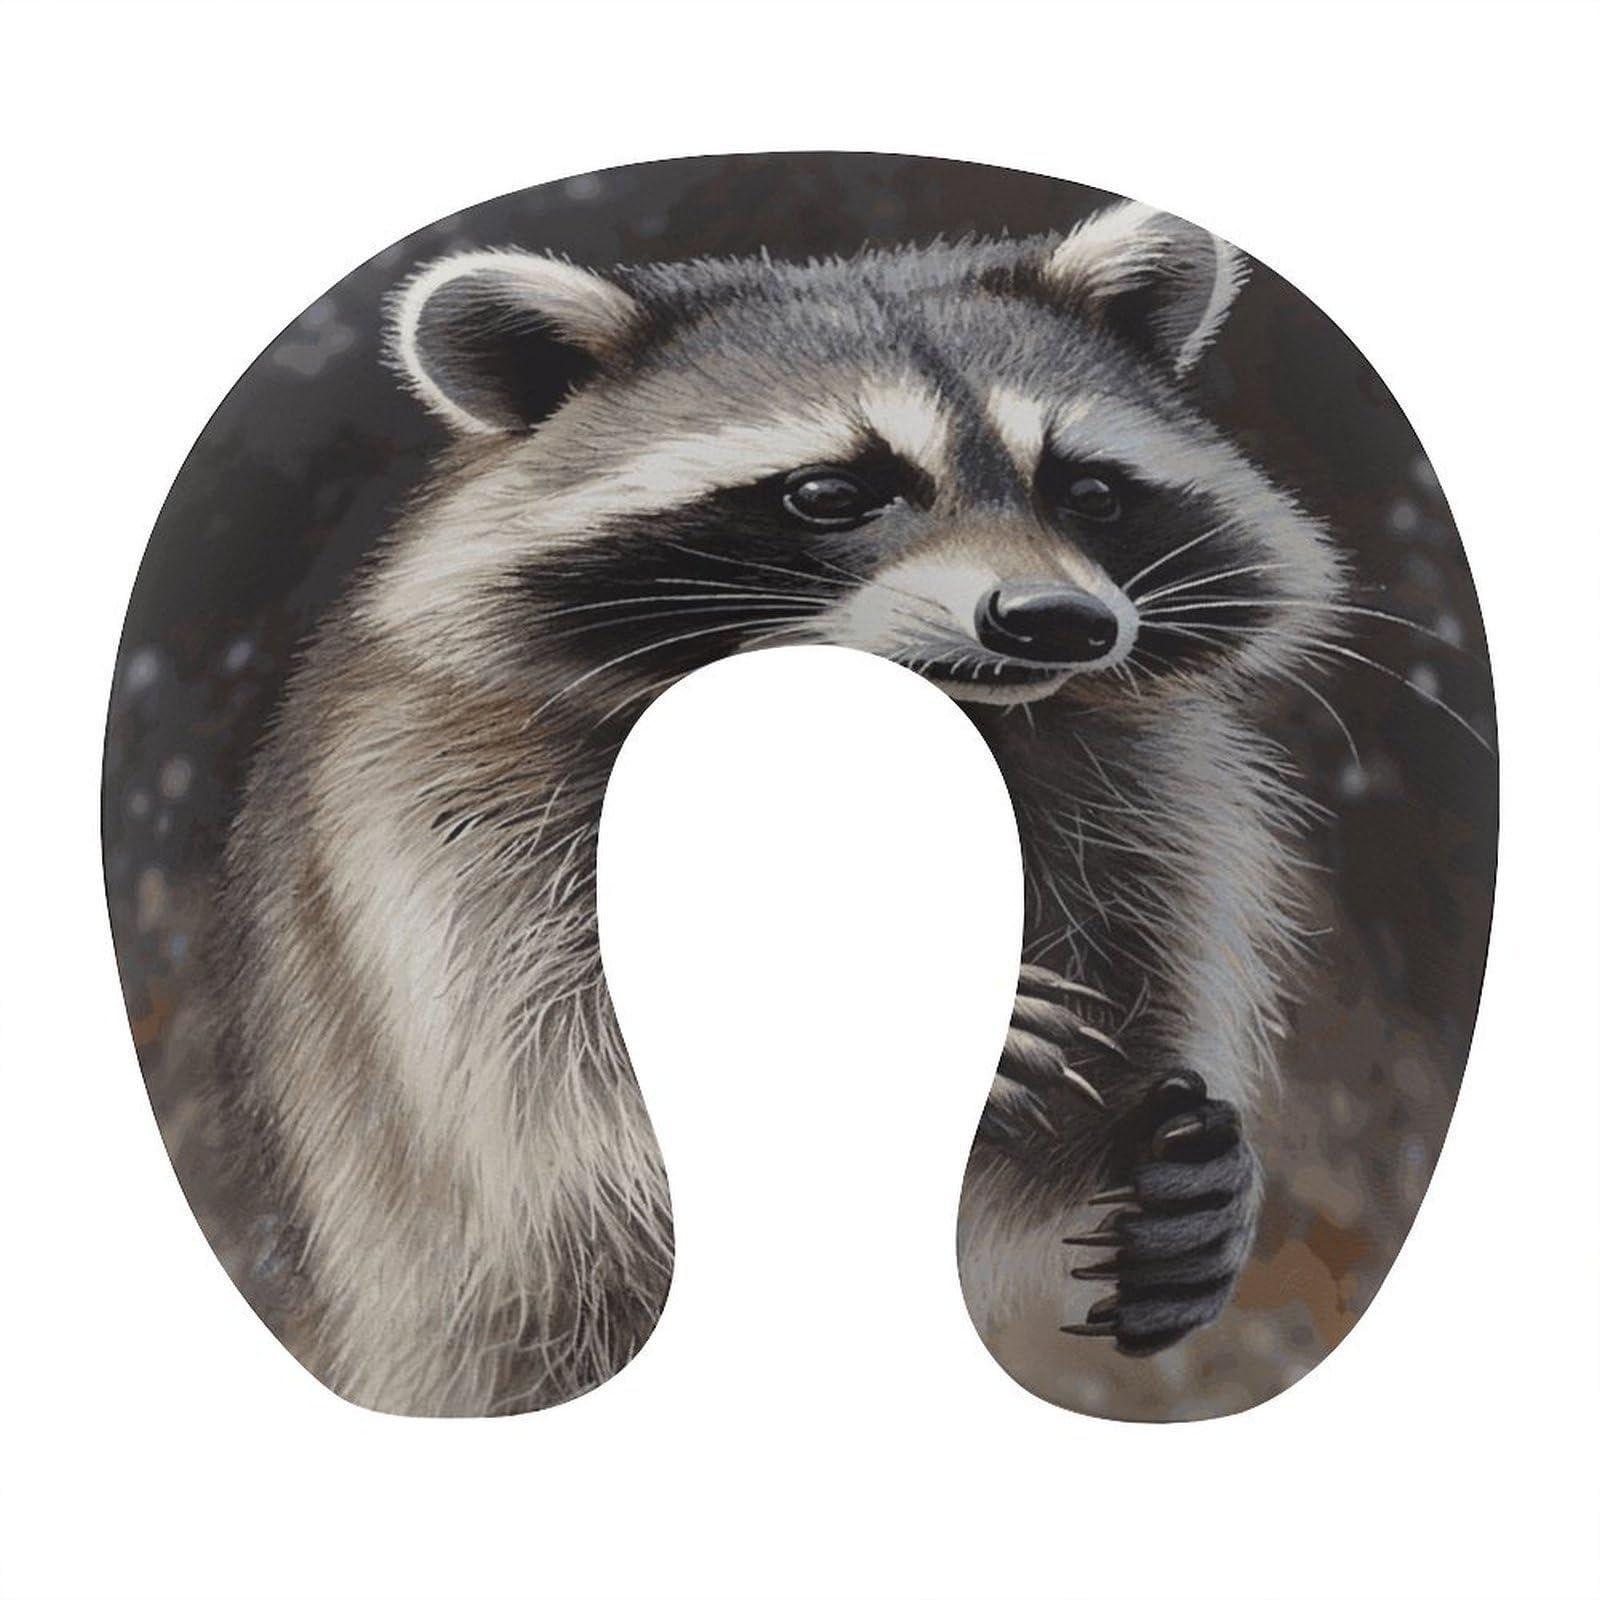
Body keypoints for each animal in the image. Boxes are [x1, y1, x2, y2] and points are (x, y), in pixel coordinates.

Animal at [209, 200, 1343, 1415]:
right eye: (832, 493)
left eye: (1083, 489)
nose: (1055, 620)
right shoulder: (439, 809)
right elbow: (549, 1088)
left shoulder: (1143, 798)